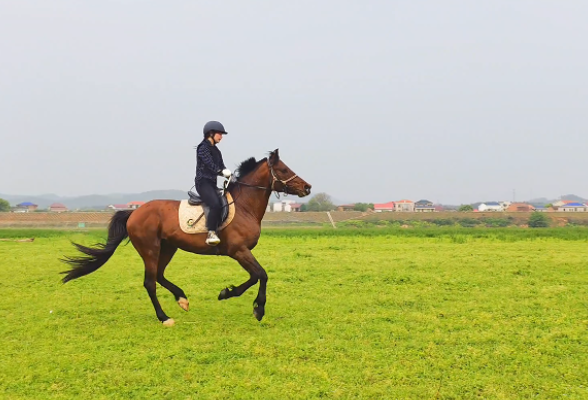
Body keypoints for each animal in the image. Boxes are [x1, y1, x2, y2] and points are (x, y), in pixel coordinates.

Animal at [60, 149, 312, 324]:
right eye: (284, 170)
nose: (307, 187)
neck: (244, 206)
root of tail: (134, 212)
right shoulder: (238, 251)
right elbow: (261, 274)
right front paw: (256, 308)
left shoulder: (240, 252)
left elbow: (255, 276)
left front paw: (228, 293)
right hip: (150, 249)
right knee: (150, 282)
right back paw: (164, 318)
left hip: (168, 247)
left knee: (160, 276)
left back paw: (182, 299)